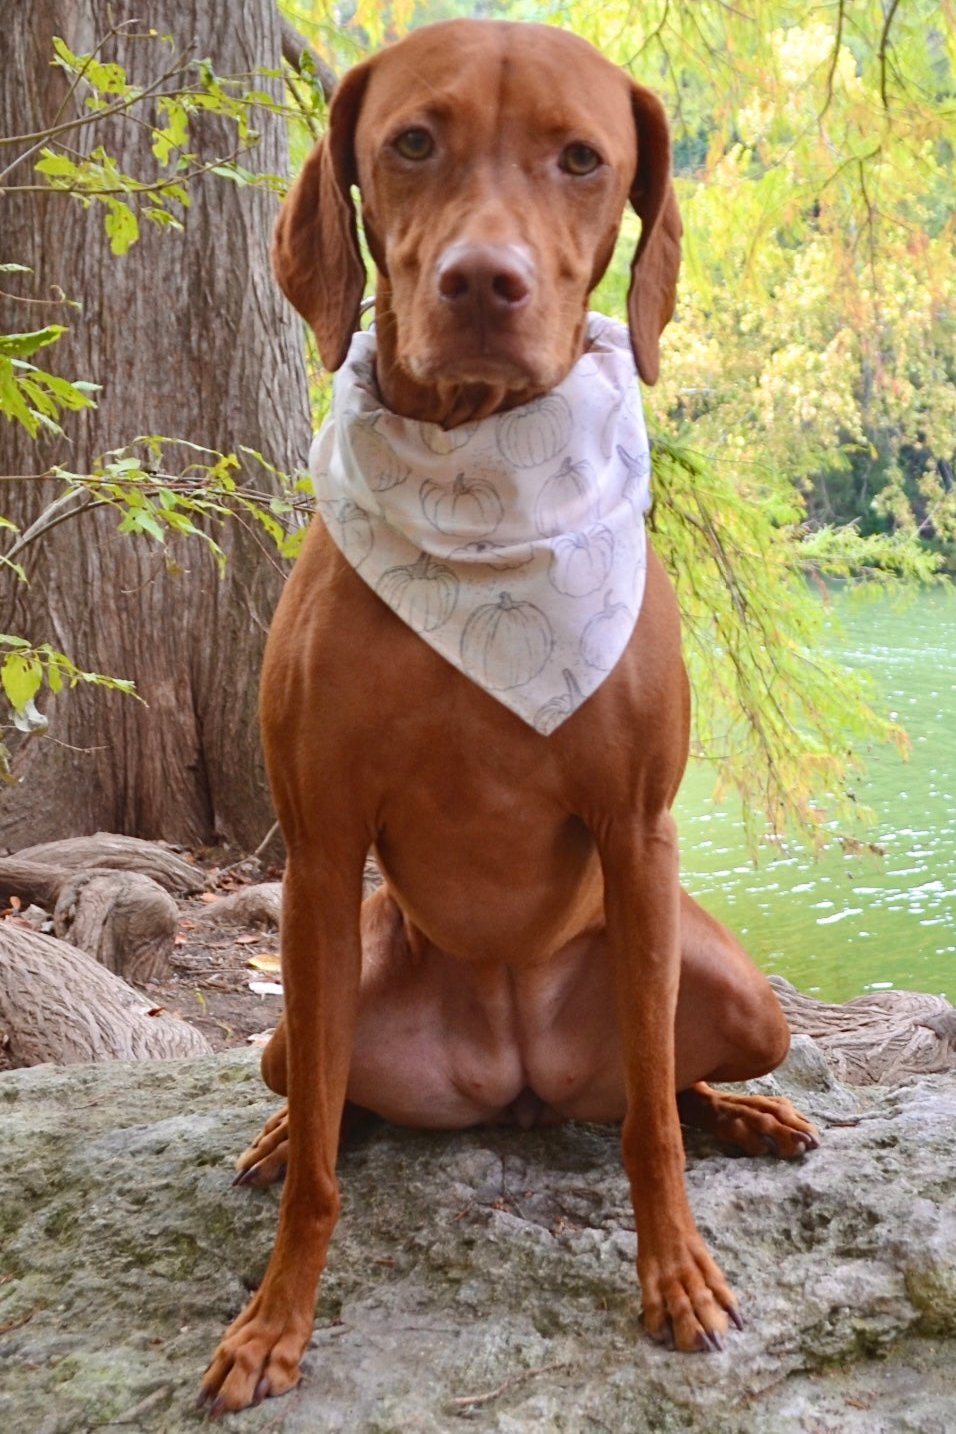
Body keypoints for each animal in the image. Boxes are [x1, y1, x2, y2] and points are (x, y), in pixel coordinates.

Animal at [200, 19, 814, 1411]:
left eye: (580, 158)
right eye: (411, 142)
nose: (485, 281)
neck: (479, 513)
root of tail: (517, 1082)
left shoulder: (637, 832)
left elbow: (648, 1125)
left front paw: (674, 1277)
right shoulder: (317, 852)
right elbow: (325, 1173)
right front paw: (274, 1322)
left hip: (735, 989)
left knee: (660, 1086)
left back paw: (743, 1115)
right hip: (306, 1006)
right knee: (322, 1094)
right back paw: (282, 1131)